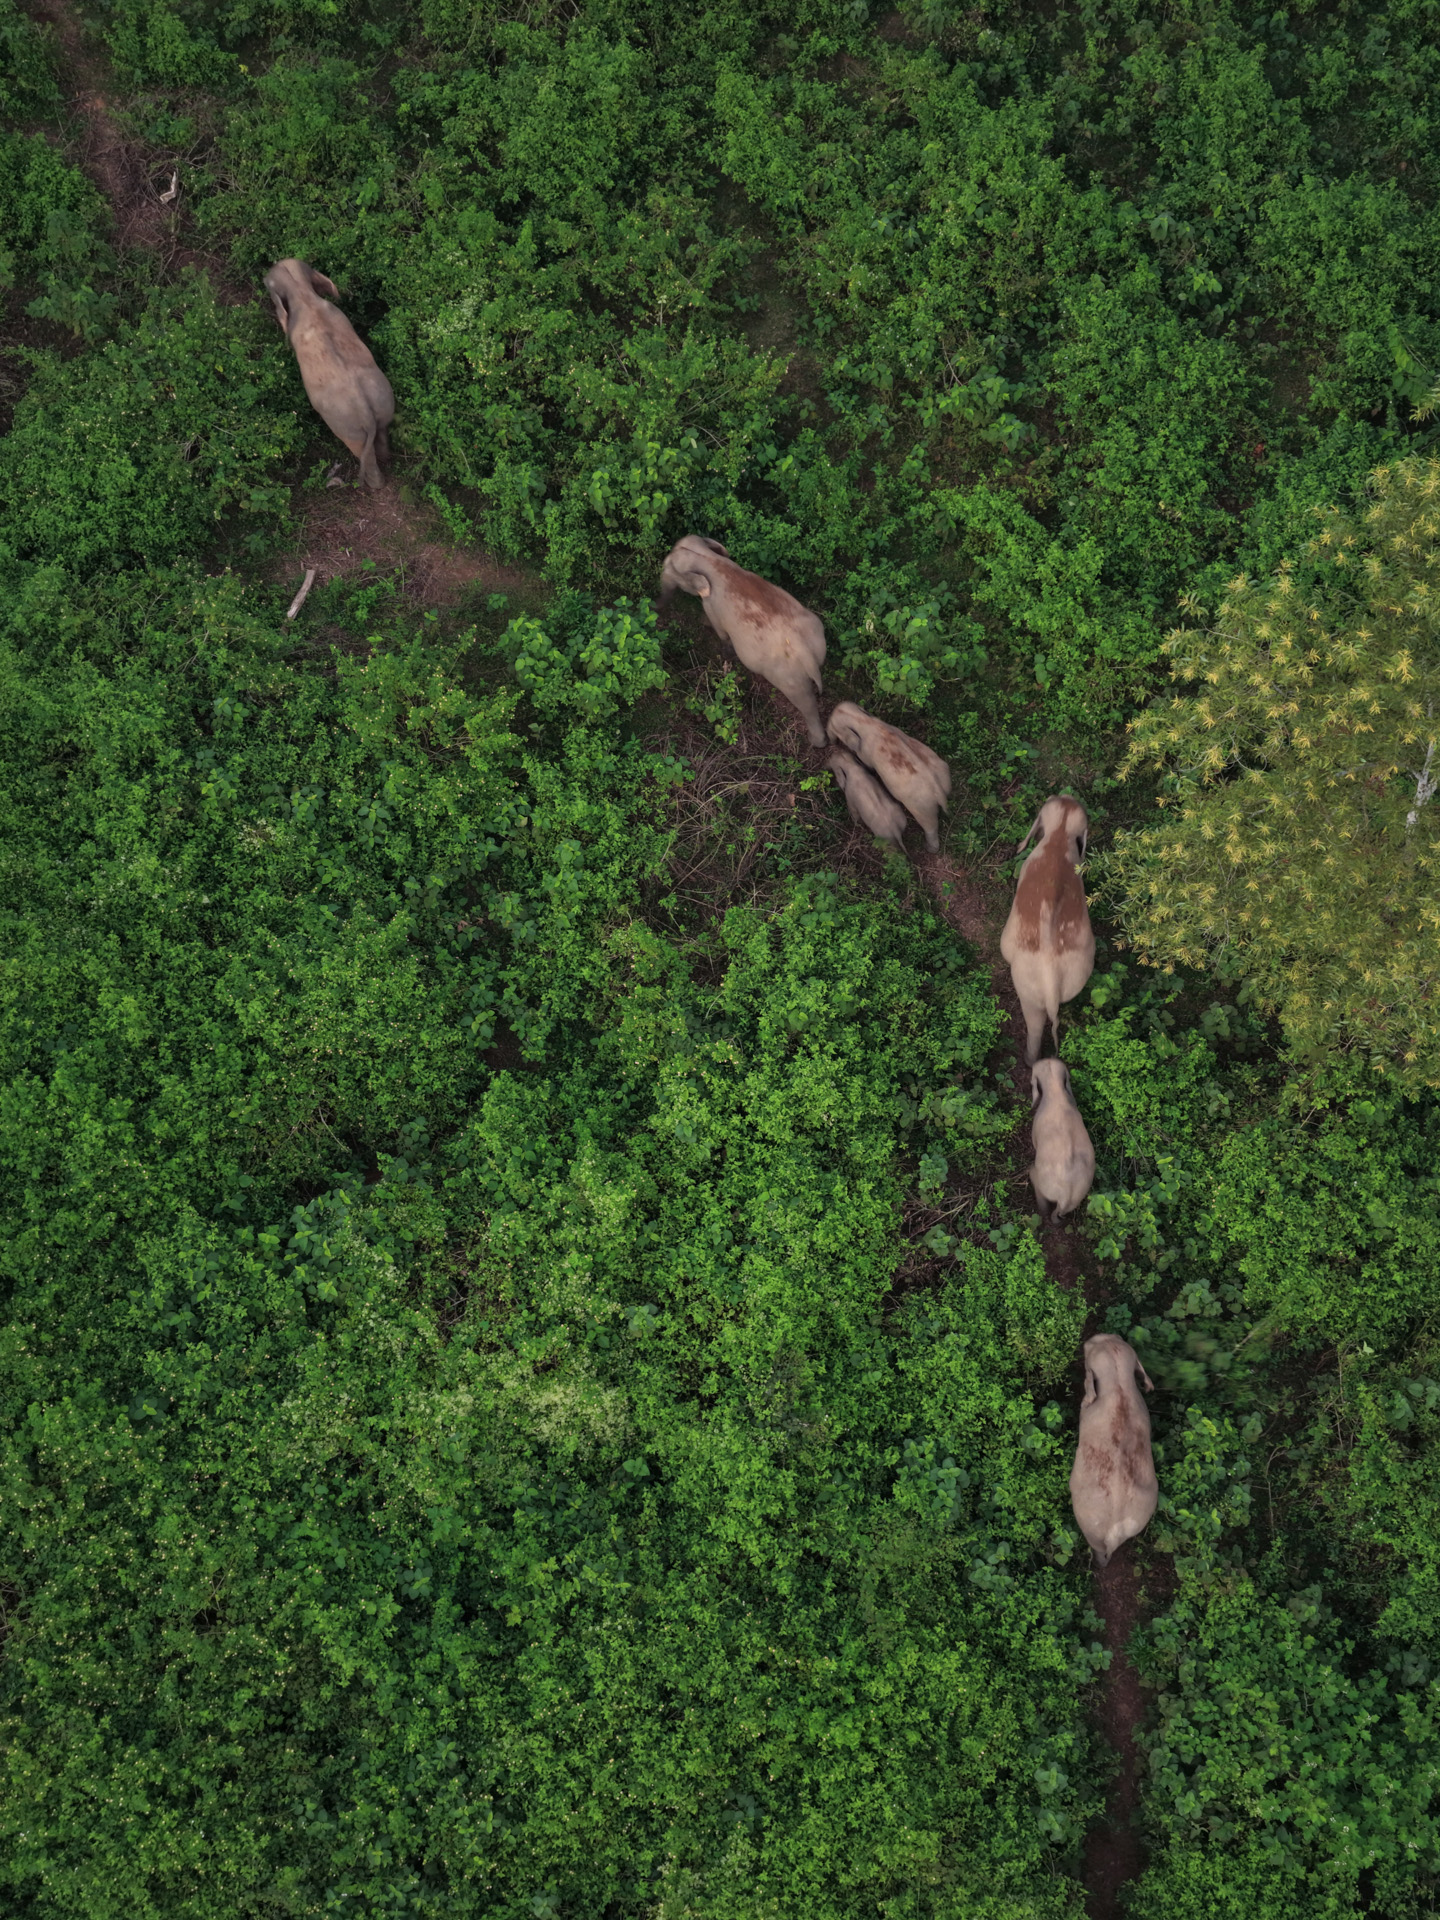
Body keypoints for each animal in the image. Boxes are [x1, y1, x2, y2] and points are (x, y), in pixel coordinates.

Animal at [264, 258, 395, 490]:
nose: (262, 277)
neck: (304, 296)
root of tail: (367, 414)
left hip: (347, 429)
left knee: (364, 455)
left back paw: (374, 484)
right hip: (384, 408)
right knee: (381, 437)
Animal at [657, 536, 827, 747]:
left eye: (668, 568)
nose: (655, 608)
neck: (708, 558)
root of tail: (807, 653)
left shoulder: (711, 606)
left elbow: (720, 631)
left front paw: (718, 644)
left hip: (789, 676)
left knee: (805, 701)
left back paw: (816, 742)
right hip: (818, 643)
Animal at [825, 702, 951, 853]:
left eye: (832, 726)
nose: (830, 744)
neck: (864, 719)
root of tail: (939, 791)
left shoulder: (864, 752)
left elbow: (867, 764)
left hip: (923, 806)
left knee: (929, 824)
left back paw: (929, 848)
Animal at [999, 795, 1095, 1064]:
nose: (1069, 797)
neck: (1060, 836)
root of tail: (1052, 983)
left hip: (1028, 993)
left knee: (1034, 1027)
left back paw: (1029, 1060)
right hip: (1078, 975)